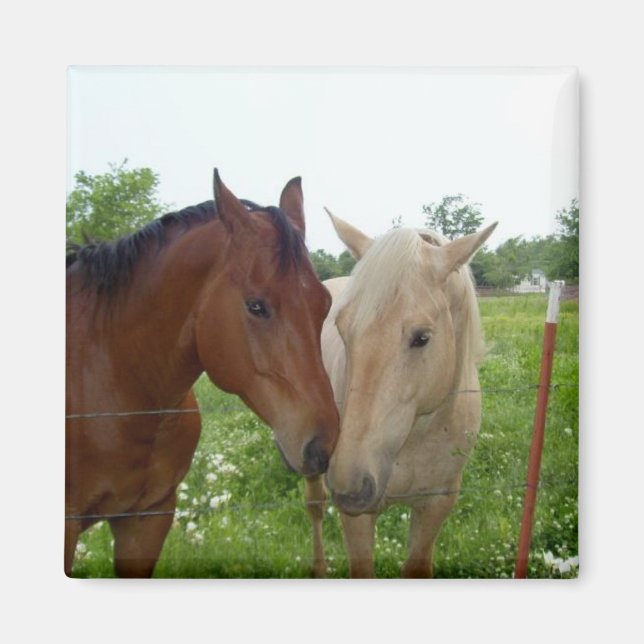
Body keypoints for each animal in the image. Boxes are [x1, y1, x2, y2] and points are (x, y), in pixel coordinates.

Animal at [304, 210, 496, 578]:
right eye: (343, 329)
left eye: (422, 337)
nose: (350, 486)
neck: (417, 437)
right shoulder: (358, 520)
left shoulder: (436, 506)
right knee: (315, 506)